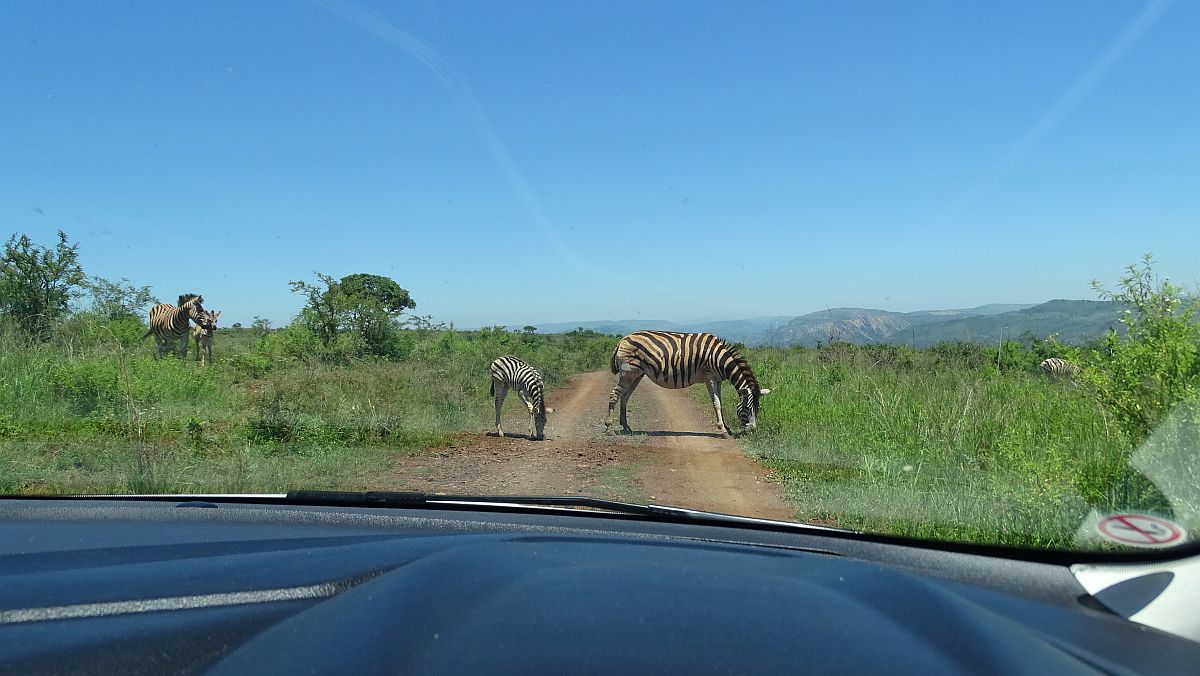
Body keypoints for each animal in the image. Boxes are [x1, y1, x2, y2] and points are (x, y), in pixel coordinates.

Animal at [604, 331, 772, 437]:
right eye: (747, 408)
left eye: (758, 408)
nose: (753, 430)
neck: (720, 359)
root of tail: (622, 339)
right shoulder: (709, 376)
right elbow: (716, 403)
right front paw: (723, 430)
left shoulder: (717, 379)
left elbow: (720, 403)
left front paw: (726, 428)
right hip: (628, 373)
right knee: (614, 395)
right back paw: (609, 428)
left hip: (637, 374)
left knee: (625, 397)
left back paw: (626, 426)